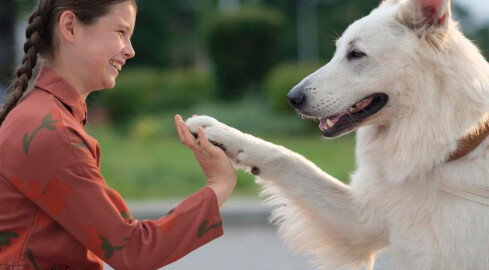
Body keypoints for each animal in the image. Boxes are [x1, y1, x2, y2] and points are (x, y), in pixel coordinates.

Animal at [185, 0, 488, 268]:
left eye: (356, 54)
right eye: (338, 51)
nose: (291, 98)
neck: (455, 148)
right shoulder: (362, 221)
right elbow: (288, 157)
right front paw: (221, 134)